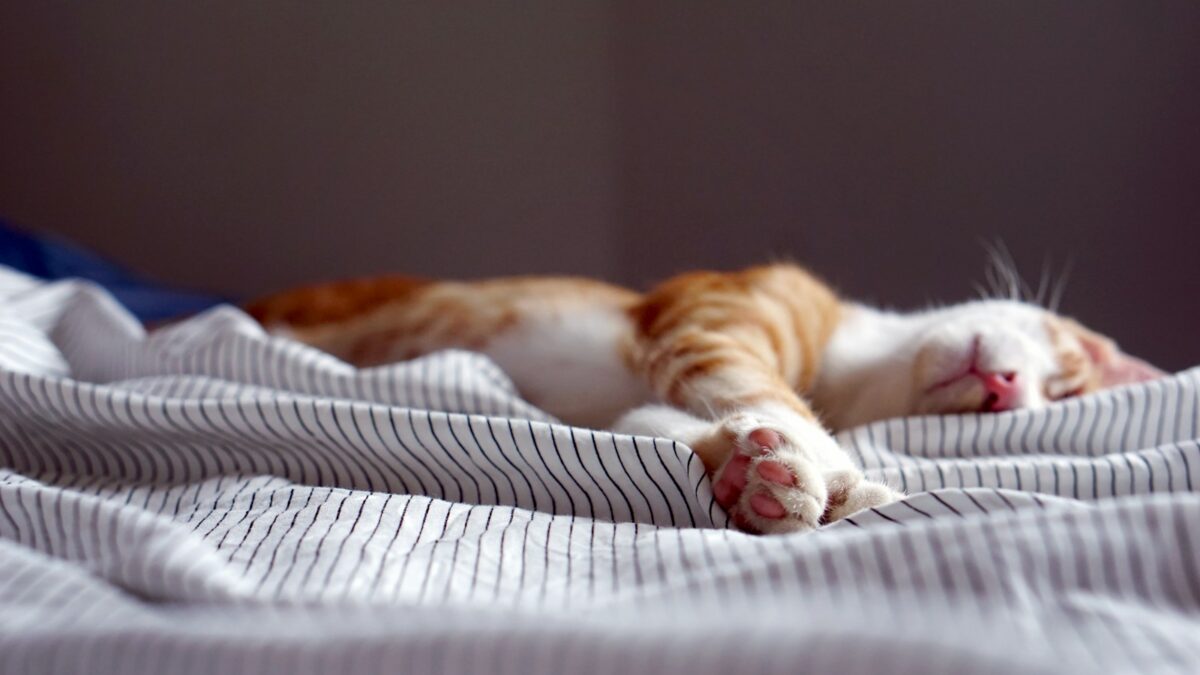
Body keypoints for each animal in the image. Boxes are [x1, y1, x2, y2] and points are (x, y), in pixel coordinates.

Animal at [246, 261, 1161, 530]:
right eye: (1064, 371)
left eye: (1056, 396)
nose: (1009, 390)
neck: (844, 371)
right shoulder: (710, 316)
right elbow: (762, 393)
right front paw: (826, 474)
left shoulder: (641, 396)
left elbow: (659, 419)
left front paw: (752, 473)